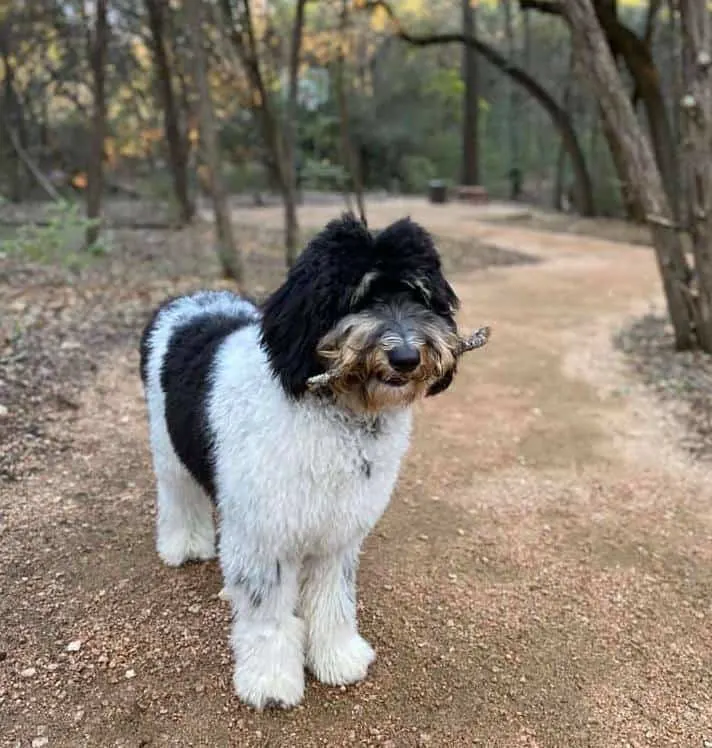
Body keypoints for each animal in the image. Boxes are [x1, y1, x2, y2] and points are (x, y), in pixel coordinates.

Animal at [141, 213, 470, 712]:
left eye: (418, 295)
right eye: (358, 298)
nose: (406, 356)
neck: (332, 411)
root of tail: (186, 300)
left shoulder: (338, 530)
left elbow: (333, 601)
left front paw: (337, 657)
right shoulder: (264, 534)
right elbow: (268, 615)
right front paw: (270, 680)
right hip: (169, 448)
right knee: (180, 496)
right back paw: (184, 545)